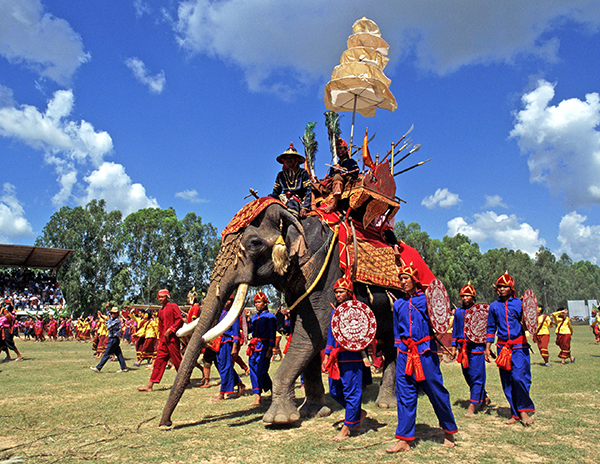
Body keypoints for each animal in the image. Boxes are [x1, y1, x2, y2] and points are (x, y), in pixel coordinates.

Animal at [159, 198, 404, 426]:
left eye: (254, 243)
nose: (166, 424)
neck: (297, 217)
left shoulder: (327, 269)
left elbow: (317, 330)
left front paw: (279, 419)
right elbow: (306, 333)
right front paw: (313, 411)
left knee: (393, 343)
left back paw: (386, 403)